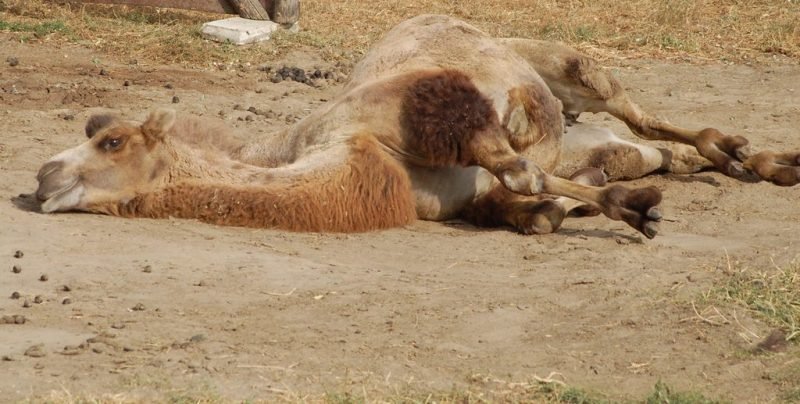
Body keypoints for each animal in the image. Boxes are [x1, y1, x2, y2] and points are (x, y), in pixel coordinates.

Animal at [32, 15, 800, 239]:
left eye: (109, 139)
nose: (42, 175)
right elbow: (528, 198)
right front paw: (608, 208)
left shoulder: (425, 105)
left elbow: (518, 168)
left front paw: (631, 214)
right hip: (597, 131)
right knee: (652, 151)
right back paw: (743, 159)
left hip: (567, 65)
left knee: (633, 108)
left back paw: (754, 155)